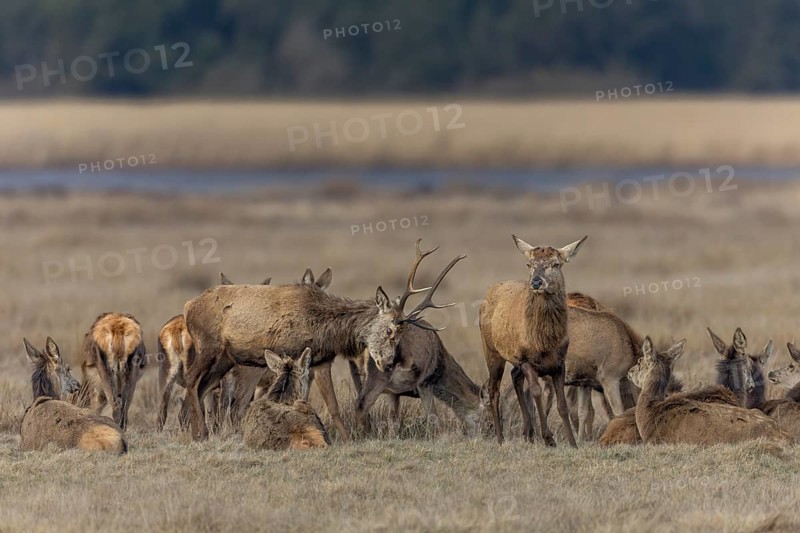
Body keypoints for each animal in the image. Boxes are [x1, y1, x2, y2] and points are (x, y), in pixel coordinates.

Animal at [182, 240, 465, 440]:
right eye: (389, 331)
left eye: (401, 334)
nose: (386, 364)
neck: (326, 329)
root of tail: (188, 307)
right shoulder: (296, 356)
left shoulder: (321, 360)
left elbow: (333, 405)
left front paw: (348, 439)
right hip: (208, 346)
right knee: (192, 381)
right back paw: (200, 433)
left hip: (225, 359)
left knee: (204, 387)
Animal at [480, 235, 587, 446]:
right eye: (529, 264)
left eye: (556, 264)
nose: (536, 282)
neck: (543, 342)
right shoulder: (525, 359)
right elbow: (536, 393)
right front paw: (548, 438)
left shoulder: (560, 362)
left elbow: (562, 405)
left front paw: (572, 443)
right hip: (491, 350)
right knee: (493, 389)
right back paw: (501, 438)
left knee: (514, 376)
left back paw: (528, 433)